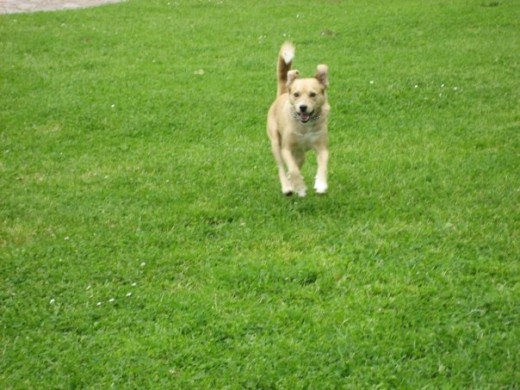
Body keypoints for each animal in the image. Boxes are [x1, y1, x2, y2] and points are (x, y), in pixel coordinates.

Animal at [268, 41, 330, 197]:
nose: (302, 107)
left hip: (300, 153)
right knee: (282, 168)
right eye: (296, 94)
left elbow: (323, 165)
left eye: (313, 94)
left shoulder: (322, 147)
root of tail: (283, 93)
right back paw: (287, 187)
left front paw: (321, 184)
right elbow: (293, 169)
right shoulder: (287, 149)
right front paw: (300, 187)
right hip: (276, 143)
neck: (305, 127)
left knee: (297, 163)